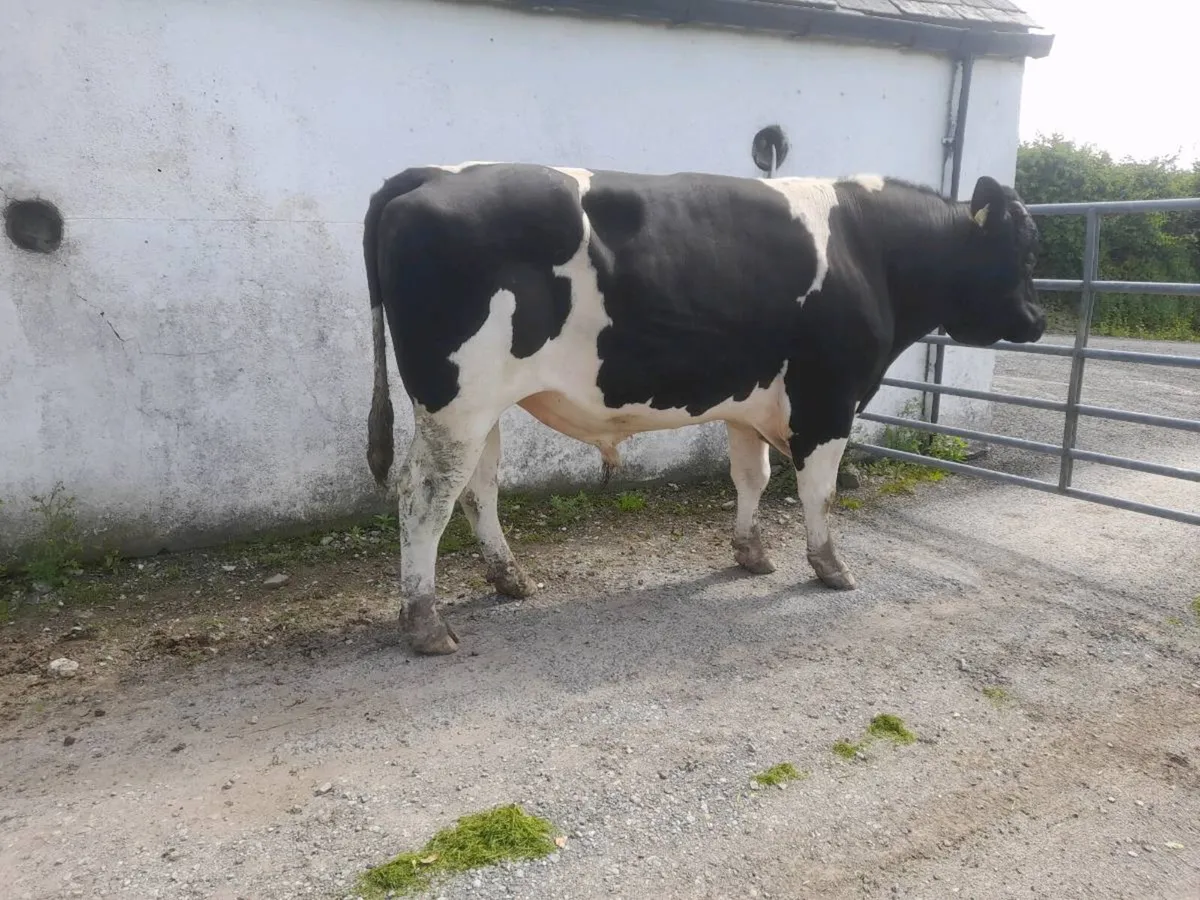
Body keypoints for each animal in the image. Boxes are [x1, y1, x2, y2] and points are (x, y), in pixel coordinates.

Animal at [362, 162, 1045, 655]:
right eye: (1023, 250)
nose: (1038, 320)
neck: (869, 250)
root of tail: (436, 173)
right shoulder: (829, 395)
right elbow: (818, 490)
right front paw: (829, 566)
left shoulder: (749, 402)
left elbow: (753, 477)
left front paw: (751, 554)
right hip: (458, 404)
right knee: (424, 496)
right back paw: (425, 624)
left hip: (482, 408)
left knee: (477, 490)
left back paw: (510, 580)